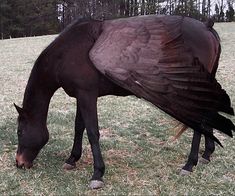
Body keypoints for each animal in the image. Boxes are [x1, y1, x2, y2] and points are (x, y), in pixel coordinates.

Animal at [15, 15, 235, 188]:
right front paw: (72, 159)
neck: (67, 53)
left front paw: (97, 173)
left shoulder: (87, 95)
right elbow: (79, 127)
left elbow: (92, 132)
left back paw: (189, 164)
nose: (19, 163)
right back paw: (206, 154)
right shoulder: (81, 95)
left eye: (19, 132)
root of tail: (206, 27)